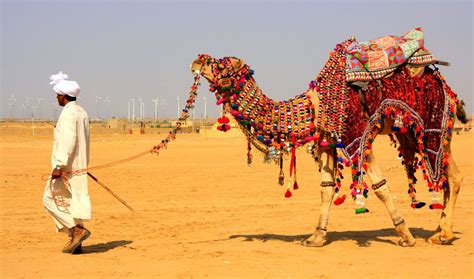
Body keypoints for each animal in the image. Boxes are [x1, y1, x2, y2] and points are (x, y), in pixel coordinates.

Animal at [183, 27, 464, 247]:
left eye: (222, 63)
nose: (196, 60)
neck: (313, 107)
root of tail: (447, 89)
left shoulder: (357, 136)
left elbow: (380, 187)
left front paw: (405, 235)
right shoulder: (327, 142)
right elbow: (327, 189)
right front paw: (316, 236)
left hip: (434, 127)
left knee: (453, 176)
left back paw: (444, 234)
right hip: (412, 133)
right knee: (444, 176)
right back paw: (438, 232)